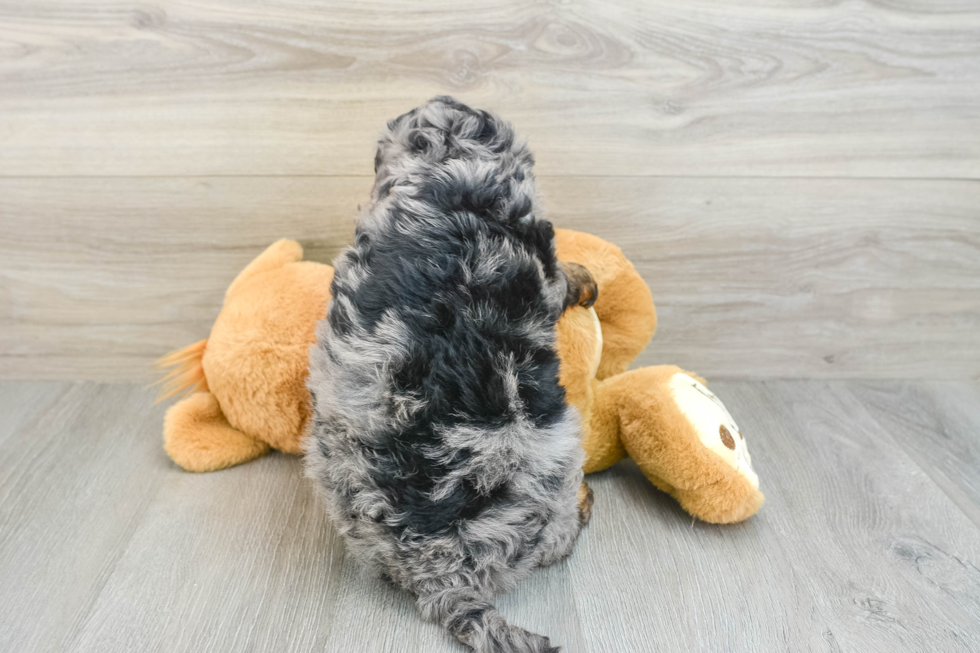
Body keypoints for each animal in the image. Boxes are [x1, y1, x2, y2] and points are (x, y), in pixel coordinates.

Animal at [306, 97, 596, 652]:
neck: (444, 165)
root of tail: (440, 572)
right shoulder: (542, 268)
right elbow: (559, 280)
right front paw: (580, 276)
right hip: (557, 457)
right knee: (557, 529)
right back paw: (579, 515)